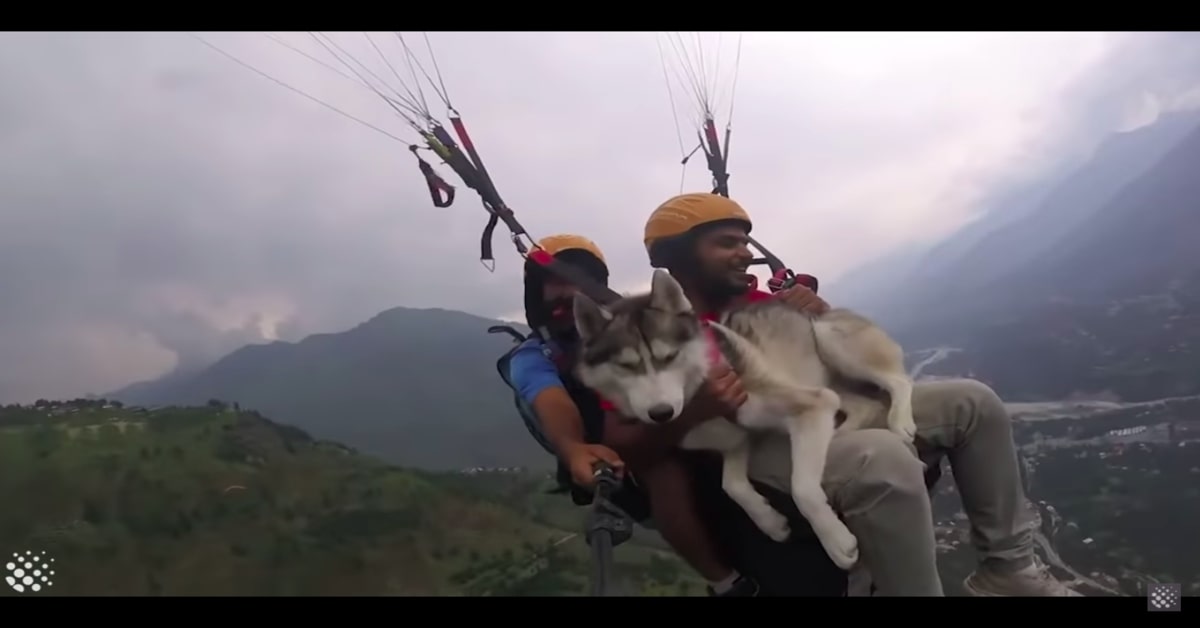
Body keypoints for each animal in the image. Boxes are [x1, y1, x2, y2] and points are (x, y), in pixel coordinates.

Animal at [576, 267, 912, 571]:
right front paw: (770, 522)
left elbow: (802, 488)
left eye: (669, 357)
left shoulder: (811, 403)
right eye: (625, 366)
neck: (702, 392)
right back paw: (840, 433)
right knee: (863, 405)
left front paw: (836, 542)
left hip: (828, 341)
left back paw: (900, 421)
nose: (661, 413)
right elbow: (731, 485)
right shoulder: (736, 437)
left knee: (898, 381)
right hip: (829, 382)